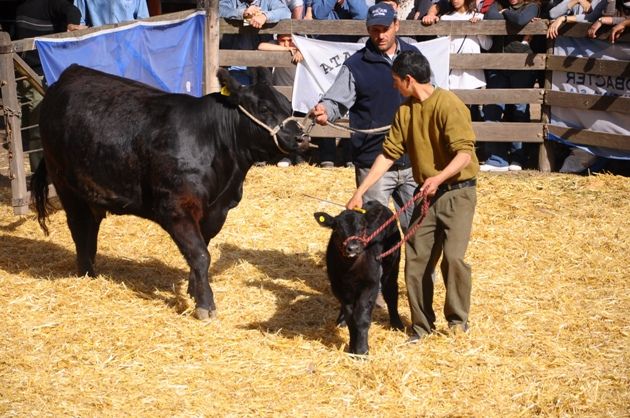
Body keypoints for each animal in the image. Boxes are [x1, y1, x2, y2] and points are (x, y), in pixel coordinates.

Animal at [31, 64, 308, 320]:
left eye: (288, 106)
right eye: (264, 108)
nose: (302, 137)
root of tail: (69, 74)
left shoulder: (215, 212)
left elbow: (201, 251)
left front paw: (193, 291)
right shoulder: (176, 208)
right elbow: (200, 255)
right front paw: (205, 305)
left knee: (91, 227)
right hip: (65, 185)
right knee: (79, 228)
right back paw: (86, 274)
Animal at [316, 201, 404, 354]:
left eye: (362, 227)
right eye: (337, 228)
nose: (353, 248)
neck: (351, 268)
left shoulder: (370, 284)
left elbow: (361, 318)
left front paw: (362, 350)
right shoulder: (338, 286)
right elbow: (351, 317)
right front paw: (353, 347)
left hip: (392, 260)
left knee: (390, 290)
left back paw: (396, 323)